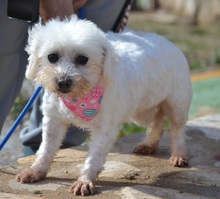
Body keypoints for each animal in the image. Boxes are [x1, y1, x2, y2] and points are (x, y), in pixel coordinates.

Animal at [16, 15, 192, 196]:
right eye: (52, 57)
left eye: (83, 59)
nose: (63, 81)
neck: (80, 97)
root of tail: (168, 42)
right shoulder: (53, 120)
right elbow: (46, 149)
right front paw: (36, 170)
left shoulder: (105, 129)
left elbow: (94, 157)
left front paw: (84, 181)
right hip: (143, 109)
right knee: (157, 120)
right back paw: (149, 144)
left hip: (177, 104)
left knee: (177, 130)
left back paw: (178, 154)